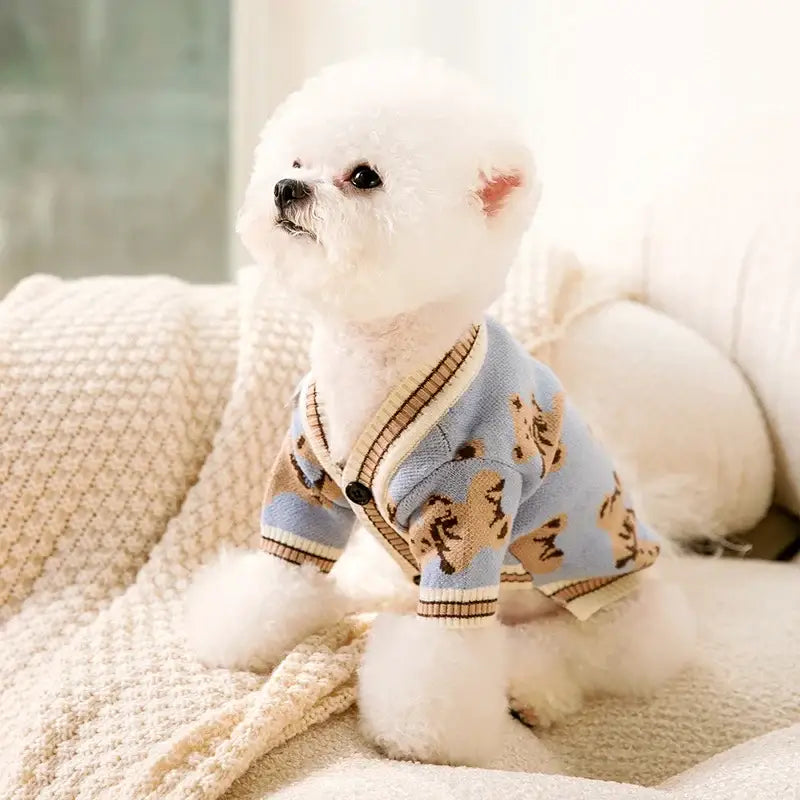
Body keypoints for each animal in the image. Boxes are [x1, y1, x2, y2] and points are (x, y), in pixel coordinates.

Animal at [186, 53, 692, 764]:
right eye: (295, 160)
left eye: (364, 176)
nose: (286, 189)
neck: (376, 359)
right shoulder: (306, 478)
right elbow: (283, 565)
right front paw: (243, 626)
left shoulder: (470, 513)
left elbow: (444, 652)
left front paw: (418, 729)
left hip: (608, 595)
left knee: (581, 646)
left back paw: (532, 686)